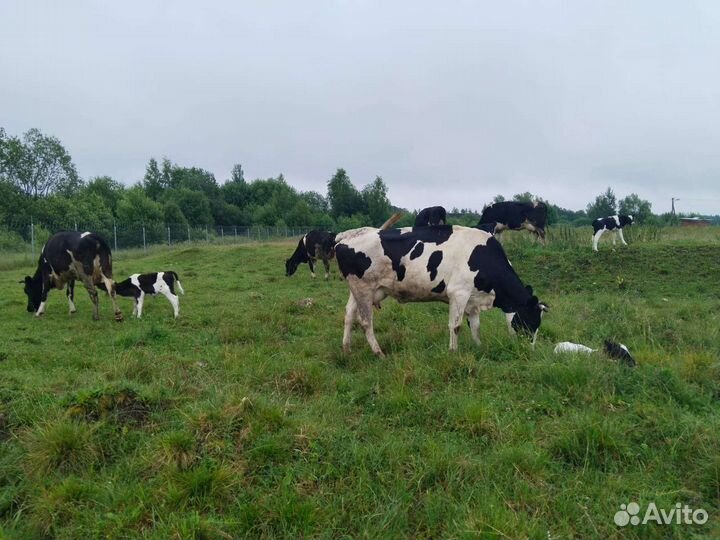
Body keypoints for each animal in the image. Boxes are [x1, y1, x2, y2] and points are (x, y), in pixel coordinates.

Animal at [335, 224, 549, 356]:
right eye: (532, 321)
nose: (529, 350)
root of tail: (348, 235)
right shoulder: (459, 293)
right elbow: (456, 326)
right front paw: (453, 352)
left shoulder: (472, 299)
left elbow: (475, 326)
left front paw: (478, 347)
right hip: (363, 288)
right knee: (365, 322)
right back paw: (378, 353)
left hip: (361, 290)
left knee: (349, 315)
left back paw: (346, 349)